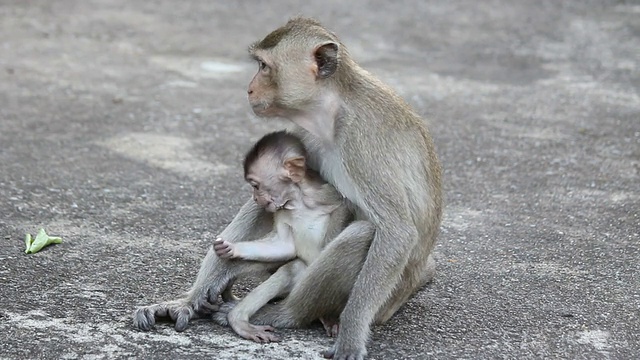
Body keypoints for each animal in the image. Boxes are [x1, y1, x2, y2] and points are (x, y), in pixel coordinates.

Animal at [212, 130, 350, 344]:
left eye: (255, 185)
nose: (255, 198)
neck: (296, 202)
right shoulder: (281, 211)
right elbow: (285, 245)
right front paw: (232, 249)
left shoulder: (324, 194)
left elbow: (342, 206)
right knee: (291, 270)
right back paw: (239, 320)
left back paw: (326, 315)